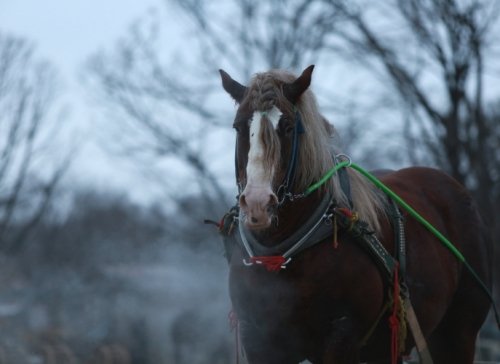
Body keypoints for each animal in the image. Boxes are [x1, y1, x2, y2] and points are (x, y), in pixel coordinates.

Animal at [218, 66, 492, 364]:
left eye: (288, 127)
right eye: (238, 126)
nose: (257, 203)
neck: (282, 255)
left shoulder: (342, 335)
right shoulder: (260, 339)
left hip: (458, 332)